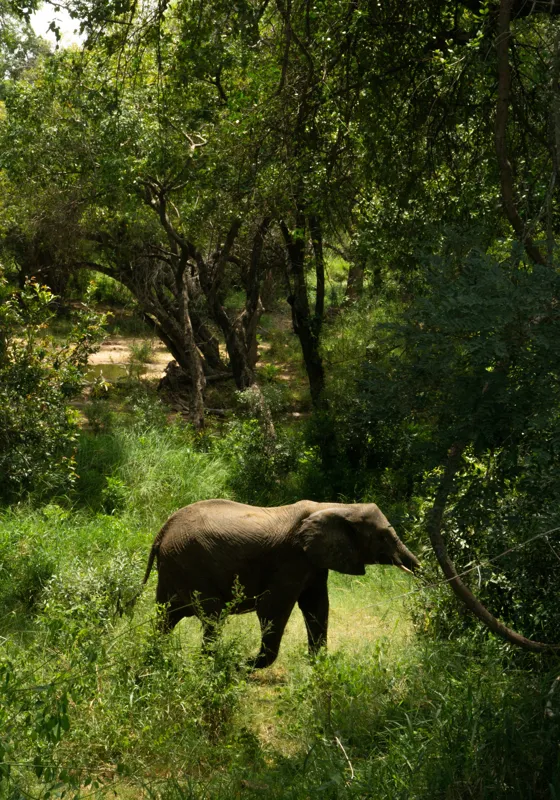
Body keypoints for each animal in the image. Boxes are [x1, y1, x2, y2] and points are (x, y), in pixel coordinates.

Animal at [142, 499, 419, 668]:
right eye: (383, 536)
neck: (334, 507)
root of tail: (162, 531)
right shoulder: (292, 557)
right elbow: (273, 606)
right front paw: (245, 665)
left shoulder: (313, 561)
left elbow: (316, 605)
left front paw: (318, 665)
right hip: (191, 563)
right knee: (213, 615)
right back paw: (209, 663)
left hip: (174, 566)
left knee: (166, 615)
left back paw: (155, 657)